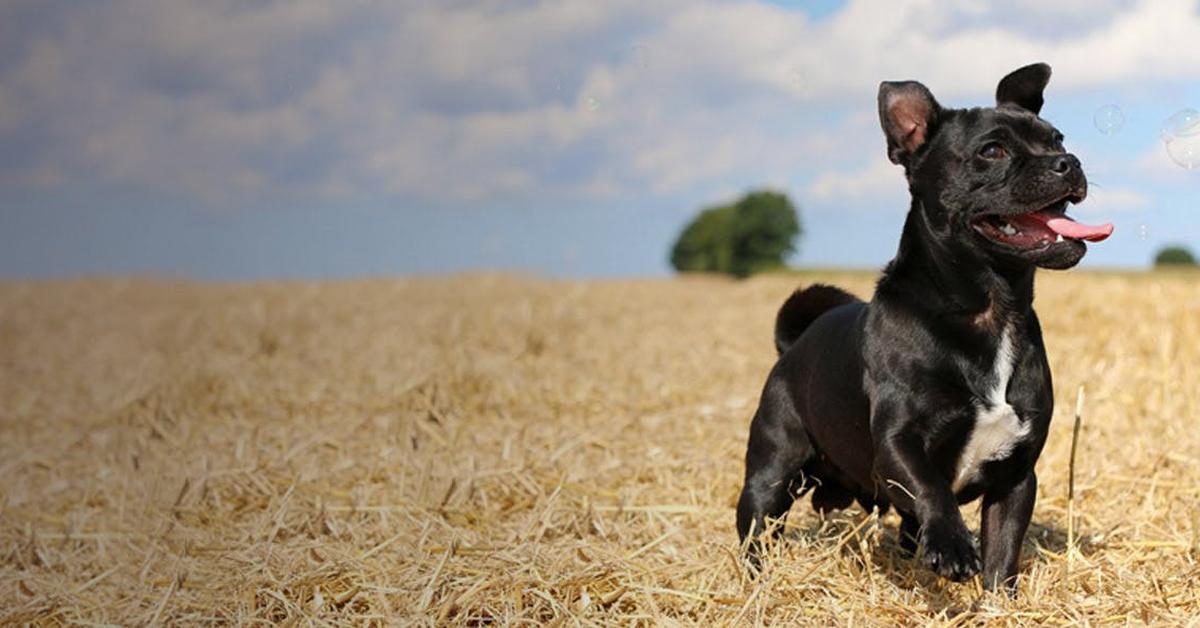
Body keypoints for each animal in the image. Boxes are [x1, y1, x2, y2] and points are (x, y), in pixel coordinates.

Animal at [734, 61, 1108, 593]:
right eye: (992, 151)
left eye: (1057, 139)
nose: (1068, 162)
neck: (990, 309)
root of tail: (793, 343)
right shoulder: (899, 443)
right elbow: (932, 489)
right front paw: (952, 545)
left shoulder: (1016, 476)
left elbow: (1003, 552)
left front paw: (997, 599)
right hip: (771, 470)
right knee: (758, 526)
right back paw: (756, 582)